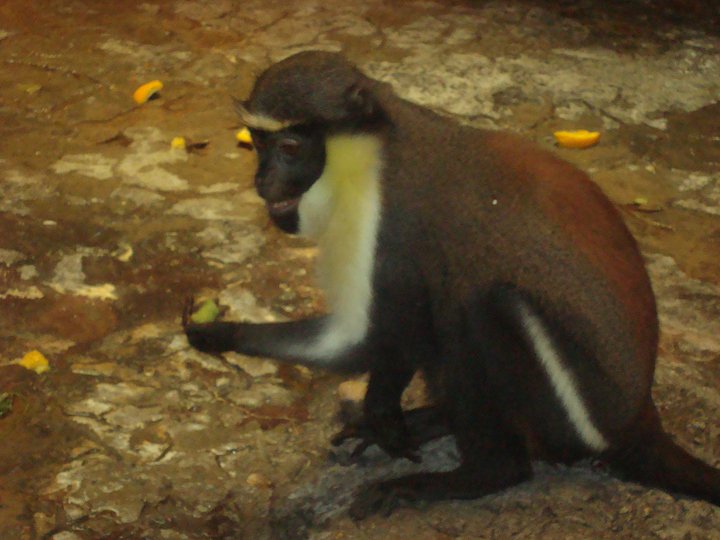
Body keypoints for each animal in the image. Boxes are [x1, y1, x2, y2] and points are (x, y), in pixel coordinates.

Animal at [183, 51, 720, 519]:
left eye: (291, 148)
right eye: (258, 142)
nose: (262, 181)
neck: (376, 141)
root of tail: (638, 423)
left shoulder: (385, 222)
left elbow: (368, 338)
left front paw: (218, 333)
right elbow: (402, 337)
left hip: (568, 410)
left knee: (483, 308)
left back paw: (481, 472)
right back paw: (436, 419)